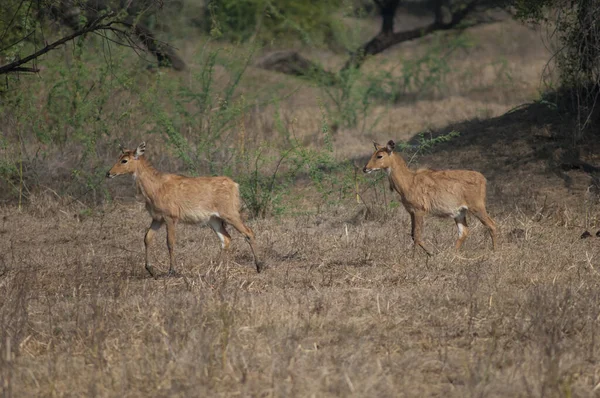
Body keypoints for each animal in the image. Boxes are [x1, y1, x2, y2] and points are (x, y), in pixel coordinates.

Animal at [106, 142, 262, 276]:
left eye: (124, 160)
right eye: (119, 157)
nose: (108, 173)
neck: (156, 186)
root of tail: (235, 185)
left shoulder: (170, 217)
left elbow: (170, 242)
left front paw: (172, 271)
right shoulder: (157, 218)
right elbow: (147, 238)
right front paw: (150, 270)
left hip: (230, 214)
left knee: (249, 233)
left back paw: (259, 266)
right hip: (214, 220)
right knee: (226, 239)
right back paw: (216, 269)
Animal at [366, 140, 496, 255]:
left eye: (379, 156)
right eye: (373, 154)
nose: (365, 168)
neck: (408, 181)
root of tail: (483, 179)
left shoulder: (419, 210)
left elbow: (417, 235)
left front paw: (416, 257)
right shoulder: (411, 212)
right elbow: (413, 235)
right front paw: (431, 253)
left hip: (477, 207)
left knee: (492, 225)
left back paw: (495, 251)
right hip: (459, 212)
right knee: (463, 231)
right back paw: (452, 254)